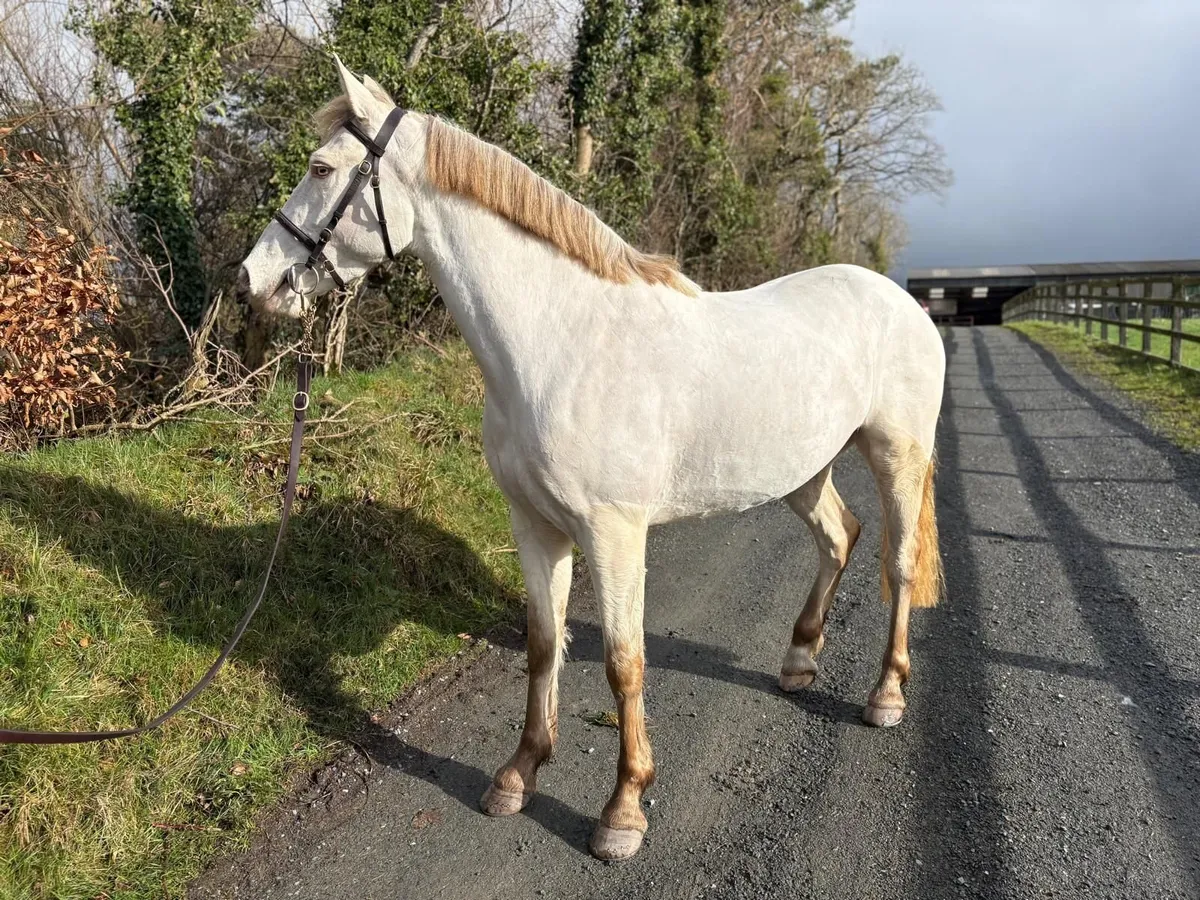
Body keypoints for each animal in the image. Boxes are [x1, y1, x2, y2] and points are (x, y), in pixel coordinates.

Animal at [238, 59, 946, 861]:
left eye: (321, 168)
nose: (252, 281)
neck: (559, 345)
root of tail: (902, 301)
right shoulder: (534, 524)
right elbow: (545, 643)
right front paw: (518, 775)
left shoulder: (614, 533)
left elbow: (622, 659)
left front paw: (623, 810)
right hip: (803, 471)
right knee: (839, 537)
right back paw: (798, 662)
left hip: (896, 457)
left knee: (897, 562)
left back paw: (885, 694)